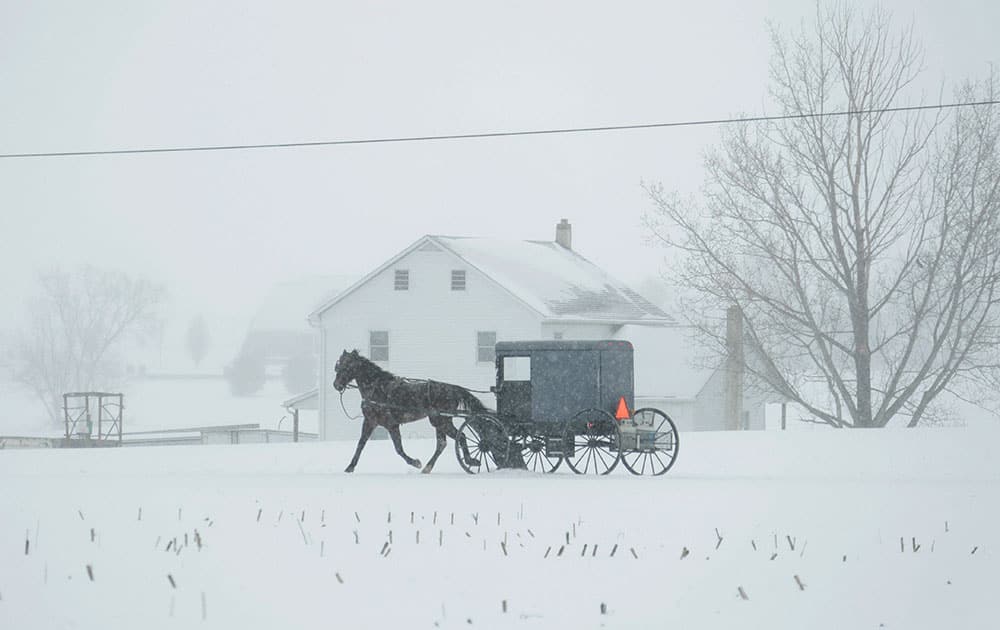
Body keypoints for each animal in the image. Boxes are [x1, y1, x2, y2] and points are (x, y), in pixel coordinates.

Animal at [334, 350, 486, 474]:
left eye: (346, 366)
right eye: (338, 365)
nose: (336, 385)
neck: (377, 389)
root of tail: (453, 388)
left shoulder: (391, 424)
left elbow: (398, 449)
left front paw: (415, 462)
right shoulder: (370, 422)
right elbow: (361, 444)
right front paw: (350, 467)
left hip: (441, 421)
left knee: (461, 437)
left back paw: (470, 461)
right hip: (439, 421)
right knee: (442, 444)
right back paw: (428, 468)